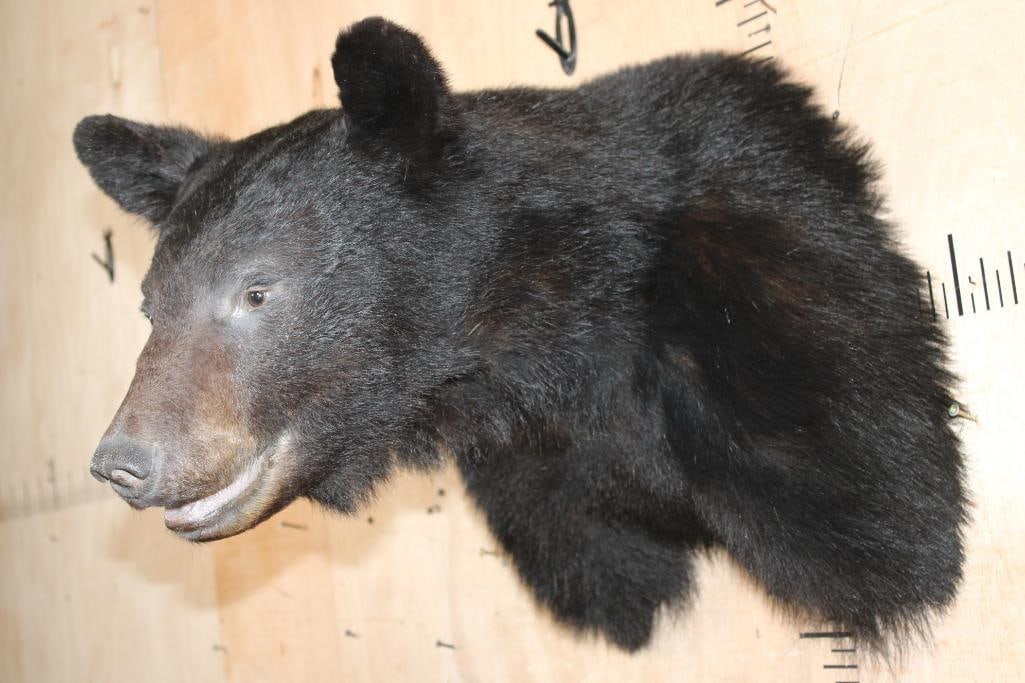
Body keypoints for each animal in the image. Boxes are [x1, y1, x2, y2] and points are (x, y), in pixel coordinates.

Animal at [74, 17, 967, 652]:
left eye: (257, 290)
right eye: (152, 306)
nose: (124, 461)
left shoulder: (765, 258)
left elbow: (855, 479)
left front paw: (900, 550)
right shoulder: (534, 473)